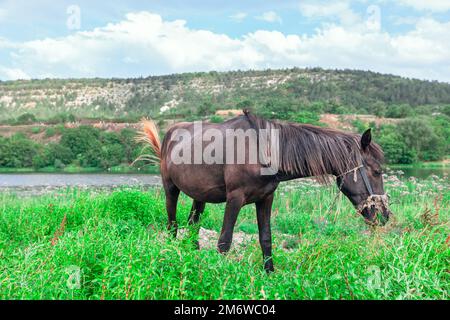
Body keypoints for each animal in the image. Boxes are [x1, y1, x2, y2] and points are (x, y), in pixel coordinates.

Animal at [140, 110, 390, 272]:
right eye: (377, 171)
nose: (384, 216)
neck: (263, 151)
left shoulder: (266, 199)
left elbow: (266, 238)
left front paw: (269, 272)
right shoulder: (234, 199)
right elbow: (224, 241)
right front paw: (218, 274)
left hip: (199, 195)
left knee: (193, 224)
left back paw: (192, 255)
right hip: (170, 189)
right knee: (172, 224)